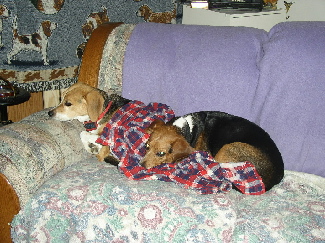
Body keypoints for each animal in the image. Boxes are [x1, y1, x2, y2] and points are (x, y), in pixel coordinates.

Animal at [142, 111, 284, 191]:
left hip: (228, 148)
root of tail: (275, 177)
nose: (141, 165)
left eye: (161, 153)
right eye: (147, 146)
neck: (184, 127)